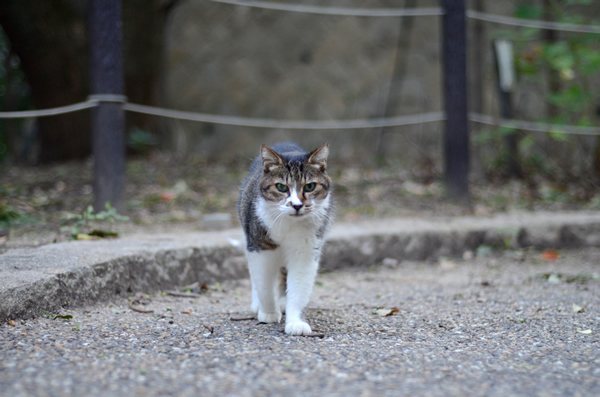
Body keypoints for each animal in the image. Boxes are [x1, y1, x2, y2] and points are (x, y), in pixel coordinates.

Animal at [238, 142, 332, 334]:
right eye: (281, 187)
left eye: (310, 186)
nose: (297, 205)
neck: (289, 224)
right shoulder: (261, 249)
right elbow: (264, 285)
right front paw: (268, 312)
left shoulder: (305, 251)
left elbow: (299, 287)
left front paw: (294, 321)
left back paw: (282, 302)